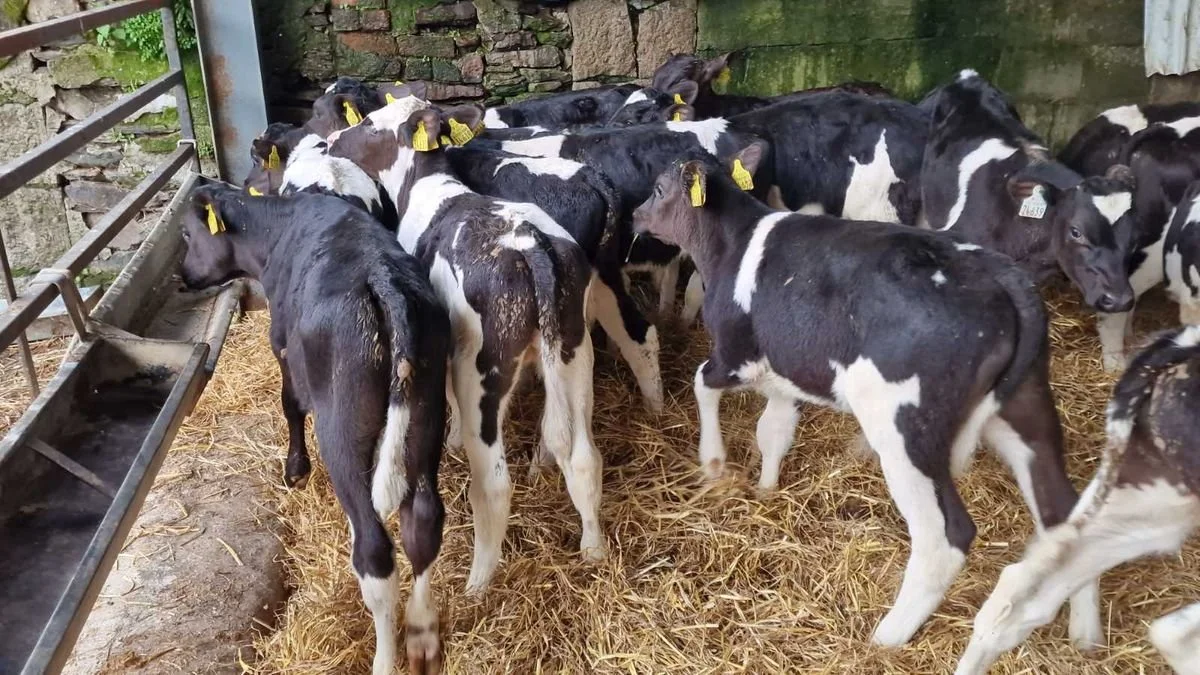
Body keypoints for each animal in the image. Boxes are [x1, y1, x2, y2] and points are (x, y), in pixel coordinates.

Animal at [178, 185, 450, 675]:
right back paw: (422, 637)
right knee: (422, 519)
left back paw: (385, 659)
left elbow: (289, 406)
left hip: (341, 429)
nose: (181, 276)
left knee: (374, 548)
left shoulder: (281, 343)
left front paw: (295, 469)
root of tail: (383, 280)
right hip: (426, 414)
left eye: (187, 233)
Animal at [329, 100, 607, 592]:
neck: (430, 187)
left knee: (494, 482)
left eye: (370, 123)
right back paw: (593, 549)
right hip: (575, 350)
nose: (330, 141)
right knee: (581, 457)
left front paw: (454, 439)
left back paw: (478, 583)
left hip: (482, 371)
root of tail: (530, 245)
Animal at [630, 151, 1103, 650]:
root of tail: (1006, 277)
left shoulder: (733, 353)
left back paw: (887, 637)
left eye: (658, 189)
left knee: (944, 537)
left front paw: (713, 462)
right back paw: (1085, 634)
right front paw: (766, 486)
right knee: (1065, 517)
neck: (729, 244)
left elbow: (702, 385)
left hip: (905, 427)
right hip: (1028, 405)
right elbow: (772, 430)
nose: (633, 214)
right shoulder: (786, 367)